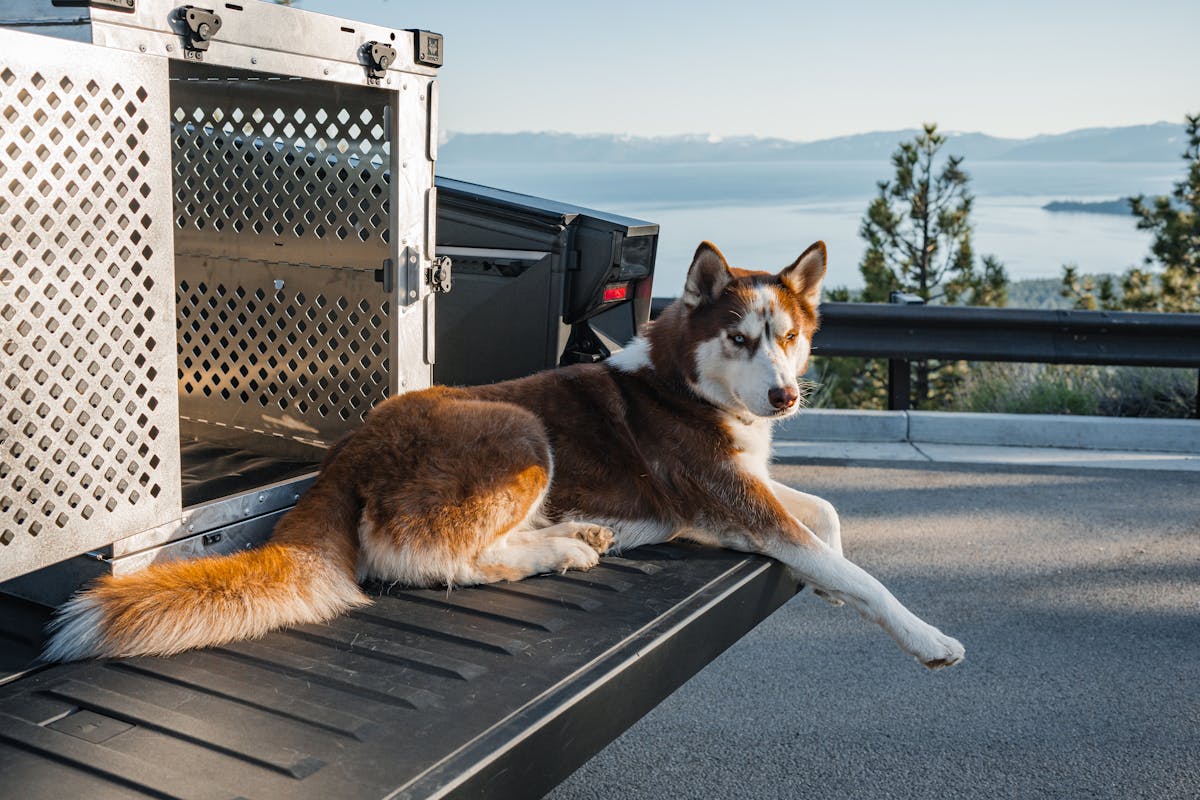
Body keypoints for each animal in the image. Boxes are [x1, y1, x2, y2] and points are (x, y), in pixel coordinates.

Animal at [44, 242, 964, 671]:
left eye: (792, 338)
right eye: (740, 339)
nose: (785, 398)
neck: (685, 381)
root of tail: (347, 452)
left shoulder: (750, 492)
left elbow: (831, 525)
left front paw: (831, 588)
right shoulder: (733, 502)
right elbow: (856, 569)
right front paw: (925, 636)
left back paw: (571, 540)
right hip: (520, 433)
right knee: (424, 556)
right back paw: (554, 551)